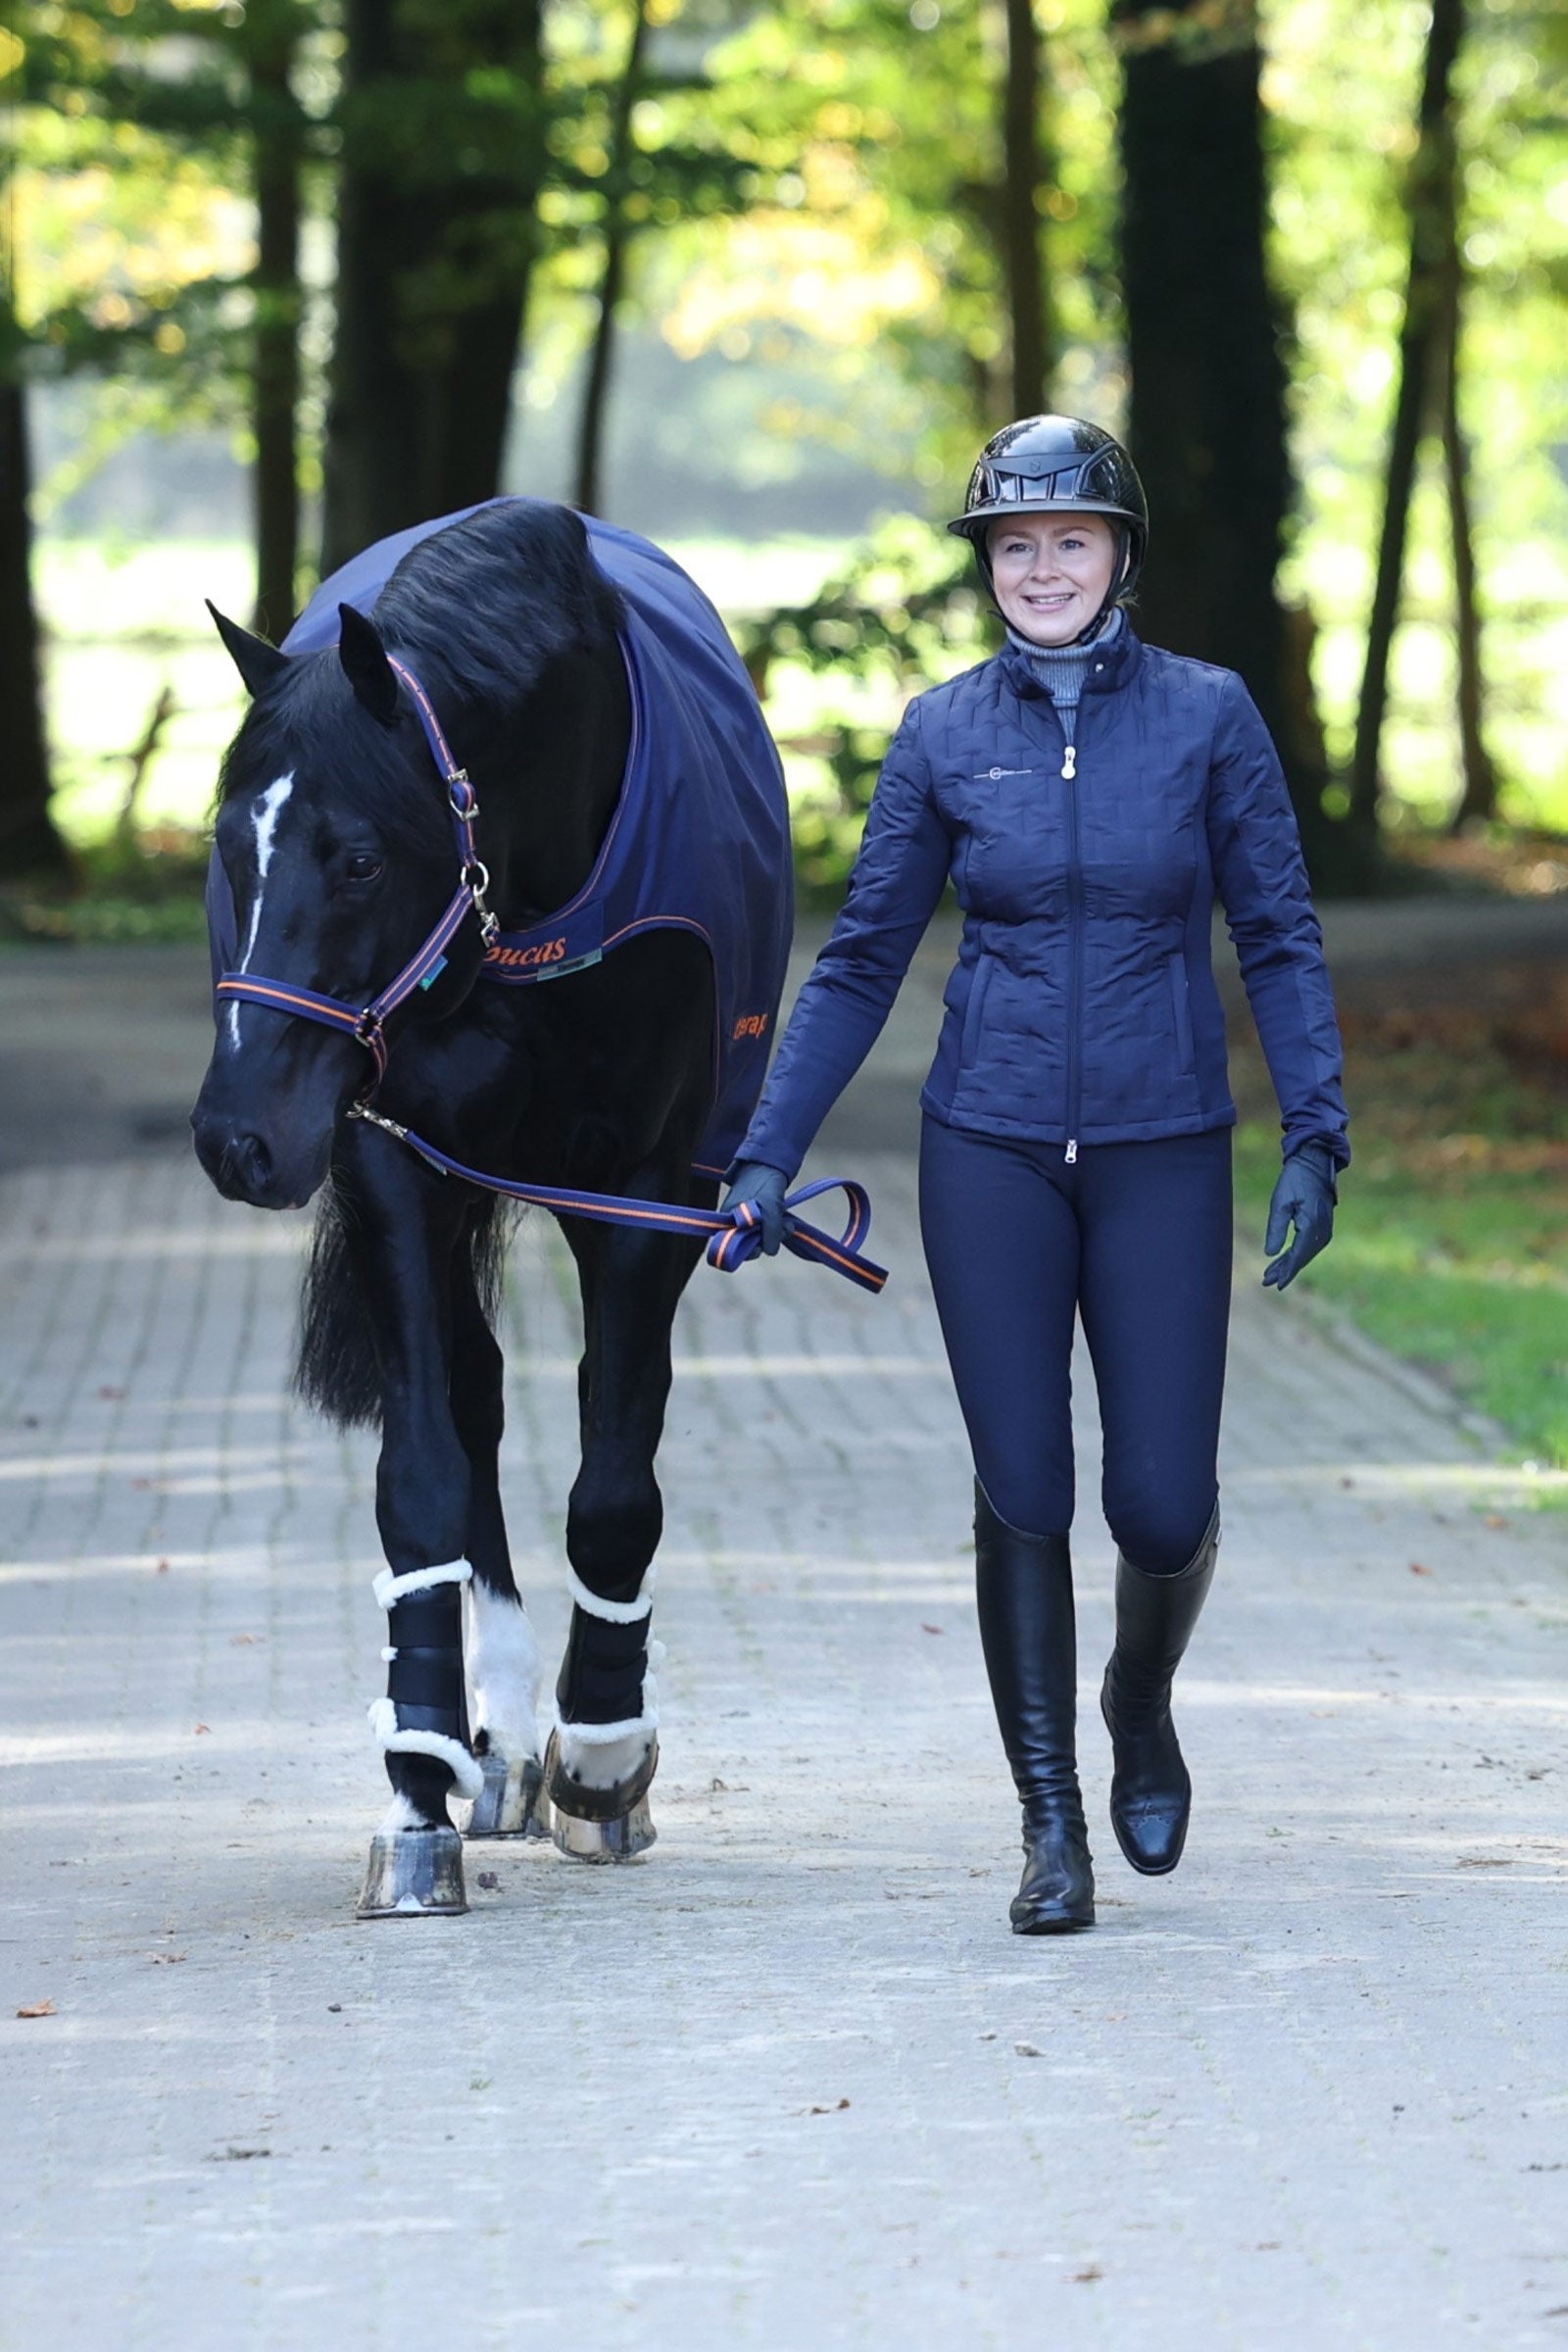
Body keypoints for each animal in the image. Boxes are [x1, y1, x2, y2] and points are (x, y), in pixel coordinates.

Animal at [190, 497, 794, 1917]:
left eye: (357, 857)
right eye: (227, 849)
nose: (238, 1139)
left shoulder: (647, 1195)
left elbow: (615, 1487)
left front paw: (605, 1757)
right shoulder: (394, 1167)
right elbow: (423, 1473)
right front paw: (418, 1785)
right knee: (471, 1407)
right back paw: (501, 1740)